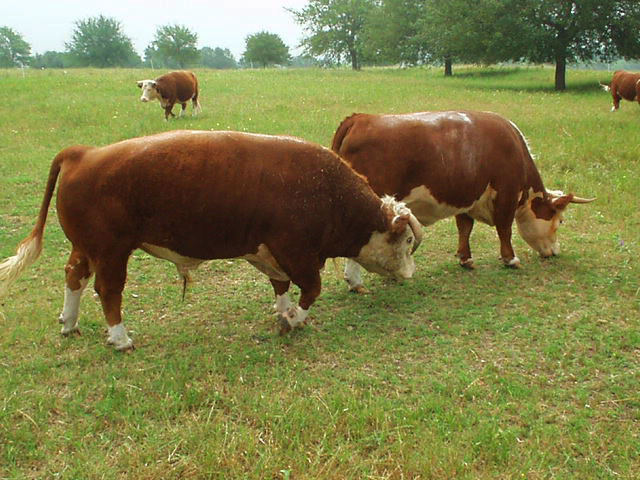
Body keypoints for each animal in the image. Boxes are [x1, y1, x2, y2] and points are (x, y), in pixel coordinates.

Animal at [0, 130, 422, 350]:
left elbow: (281, 285)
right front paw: (293, 320)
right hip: (110, 251)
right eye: (405, 242)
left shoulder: (271, 254)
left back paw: (69, 323)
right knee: (108, 290)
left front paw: (282, 311)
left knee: (74, 275)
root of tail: (83, 153)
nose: (410, 273)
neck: (329, 191)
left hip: (85, 248)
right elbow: (311, 289)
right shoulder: (296, 250)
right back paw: (120, 337)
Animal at [331, 111, 594, 293]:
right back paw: (355, 282)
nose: (555, 252)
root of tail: (360, 118)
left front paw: (466, 259)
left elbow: (465, 228)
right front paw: (511, 259)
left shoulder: (466, 197)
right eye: (560, 221)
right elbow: (505, 229)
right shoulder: (506, 195)